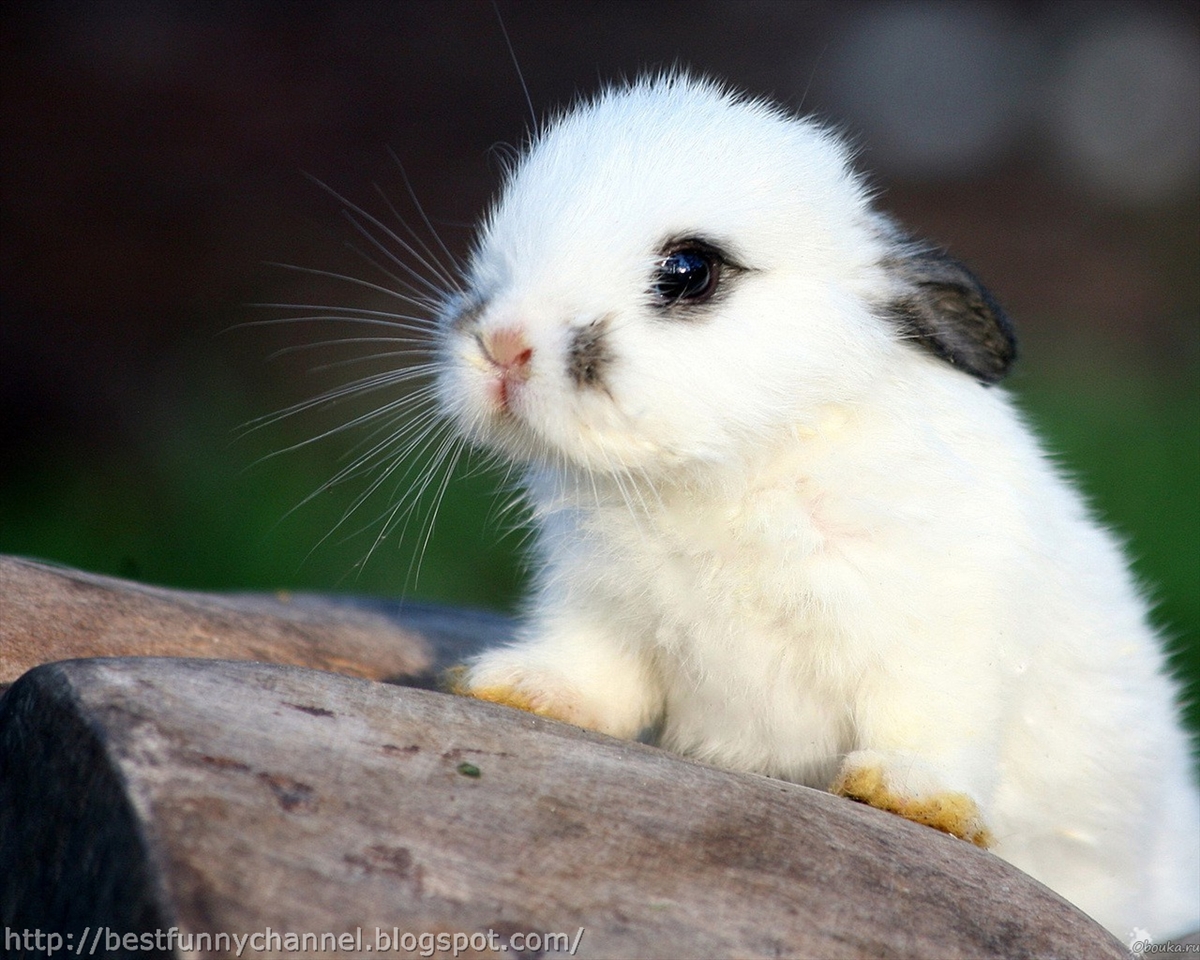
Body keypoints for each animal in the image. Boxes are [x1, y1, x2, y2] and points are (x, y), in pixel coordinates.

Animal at [430, 73, 1199, 939]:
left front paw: (906, 795)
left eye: (689, 270)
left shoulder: (940, 632)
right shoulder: (599, 609)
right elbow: (593, 674)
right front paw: (518, 687)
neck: (729, 471)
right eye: (499, 247)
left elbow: (931, 717)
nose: (502, 345)